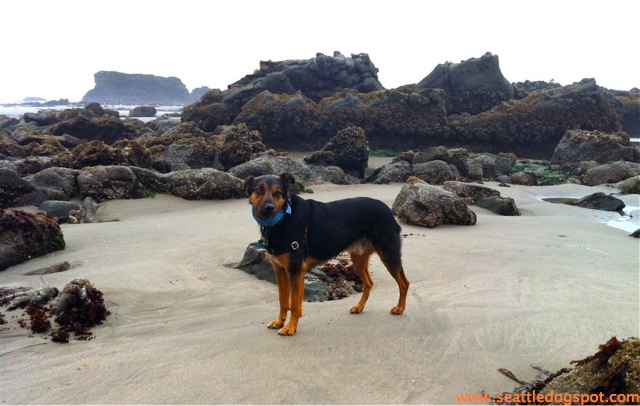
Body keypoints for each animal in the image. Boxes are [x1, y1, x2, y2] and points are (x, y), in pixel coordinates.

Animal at [245, 173, 410, 334]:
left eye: (277, 193)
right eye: (259, 191)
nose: (269, 208)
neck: (283, 218)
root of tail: (387, 209)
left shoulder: (295, 270)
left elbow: (295, 304)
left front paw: (291, 327)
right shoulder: (280, 270)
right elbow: (284, 301)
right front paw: (280, 322)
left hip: (389, 254)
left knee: (404, 282)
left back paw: (400, 308)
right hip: (358, 257)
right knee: (369, 283)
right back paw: (359, 307)